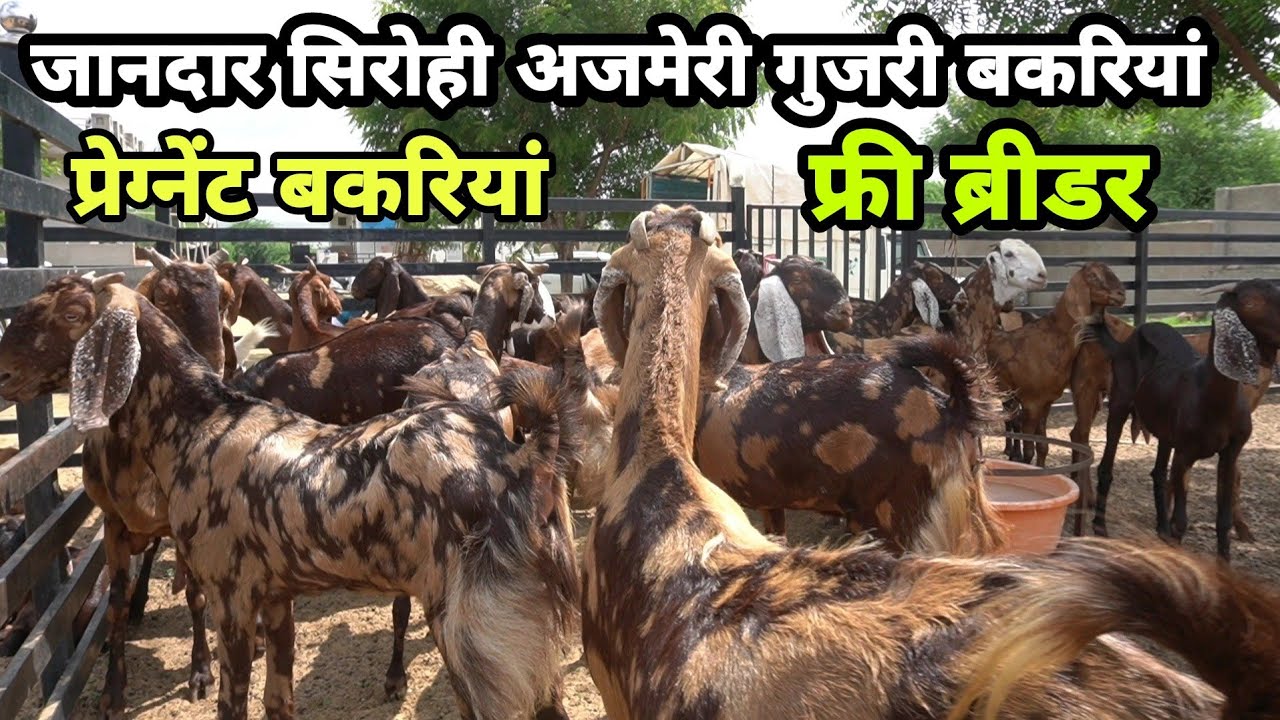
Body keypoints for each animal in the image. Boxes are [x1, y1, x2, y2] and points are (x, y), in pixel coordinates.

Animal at [0, 273, 581, 720]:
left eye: (74, 312)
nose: (4, 373)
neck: (199, 425)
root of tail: (522, 462)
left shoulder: (231, 596)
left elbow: (231, 706)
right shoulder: (277, 599)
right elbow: (279, 703)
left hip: (479, 633)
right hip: (521, 634)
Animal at [1082, 279, 1280, 560]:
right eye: (1251, 303)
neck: (1213, 394)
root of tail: (1127, 340)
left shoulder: (1230, 454)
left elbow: (1223, 520)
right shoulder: (1185, 454)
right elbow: (1182, 521)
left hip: (1164, 430)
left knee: (1157, 473)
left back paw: (1161, 530)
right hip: (1120, 403)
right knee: (1107, 466)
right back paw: (1100, 527)